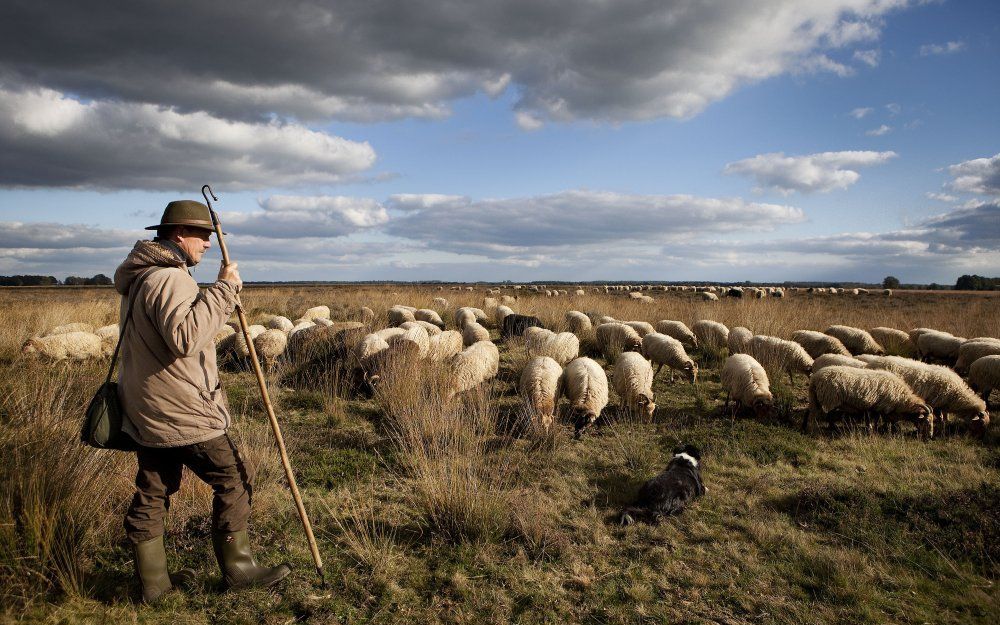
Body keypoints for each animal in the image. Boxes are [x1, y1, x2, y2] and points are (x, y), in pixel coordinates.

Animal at [800, 364, 932, 436]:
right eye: (926, 421)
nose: (930, 437)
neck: (901, 400)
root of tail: (815, 378)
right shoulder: (881, 406)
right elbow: (878, 420)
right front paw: (876, 430)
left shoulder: (873, 406)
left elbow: (872, 419)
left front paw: (873, 429)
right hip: (829, 398)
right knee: (826, 415)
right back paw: (829, 428)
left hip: (818, 398)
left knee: (810, 411)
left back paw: (805, 426)